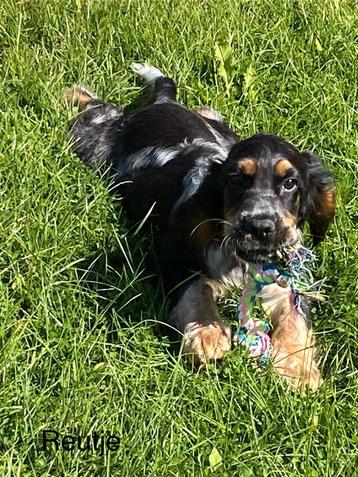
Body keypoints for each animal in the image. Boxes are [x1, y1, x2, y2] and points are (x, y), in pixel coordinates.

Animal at [65, 64, 336, 390]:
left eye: (290, 183)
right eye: (236, 180)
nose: (259, 227)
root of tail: (162, 102)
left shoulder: (285, 275)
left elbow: (296, 313)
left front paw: (296, 368)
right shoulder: (171, 252)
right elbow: (197, 286)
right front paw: (208, 335)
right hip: (93, 140)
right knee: (98, 109)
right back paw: (71, 93)